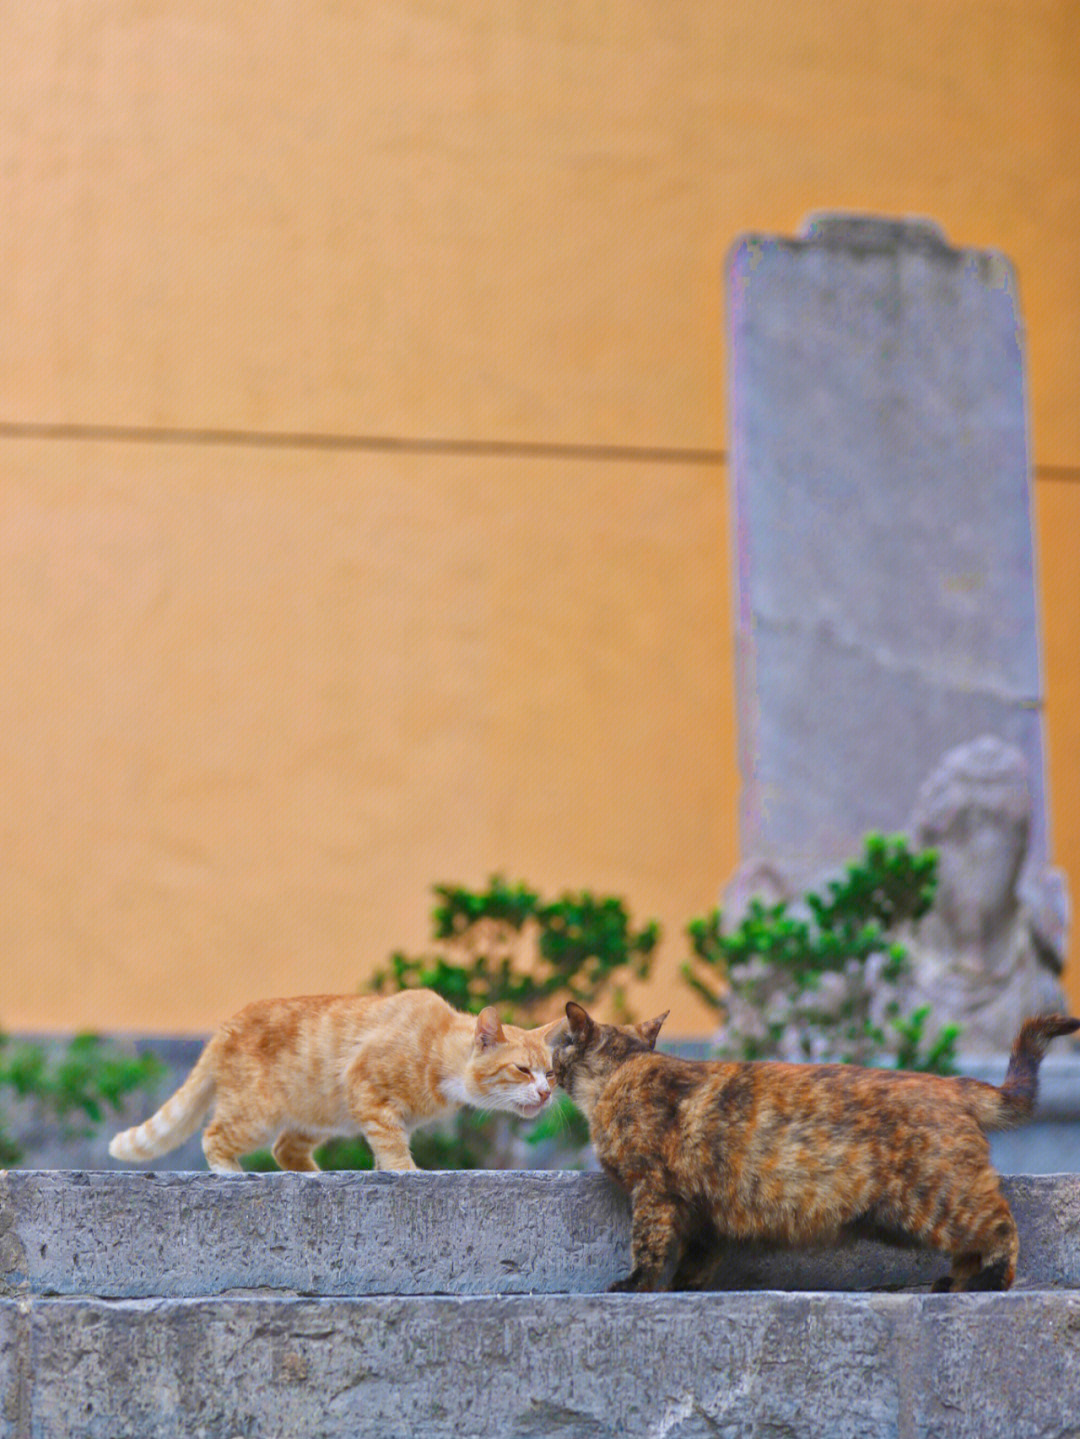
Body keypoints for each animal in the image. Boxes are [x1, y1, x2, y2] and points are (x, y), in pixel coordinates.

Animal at [110, 995, 560, 1174]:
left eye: (551, 1073)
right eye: (523, 1070)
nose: (545, 1093)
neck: (436, 1050)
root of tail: (224, 1026)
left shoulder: (386, 1114)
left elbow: (385, 1146)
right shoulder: (367, 1089)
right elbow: (393, 1147)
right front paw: (407, 1171)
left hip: (317, 1116)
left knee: (285, 1149)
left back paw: (314, 1176)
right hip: (256, 1113)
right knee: (214, 1136)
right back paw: (231, 1174)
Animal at [552, 1001, 1075, 1295]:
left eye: (561, 1041)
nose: (550, 1057)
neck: (622, 1072)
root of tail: (952, 1085)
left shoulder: (653, 1189)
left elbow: (649, 1246)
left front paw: (635, 1285)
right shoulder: (702, 1205)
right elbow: (699, 1252)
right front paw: (686, 1286)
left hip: (941, 1199)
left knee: (1001, 1227)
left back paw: (988, 1281)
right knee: (970, 1244)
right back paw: (954, 1282)